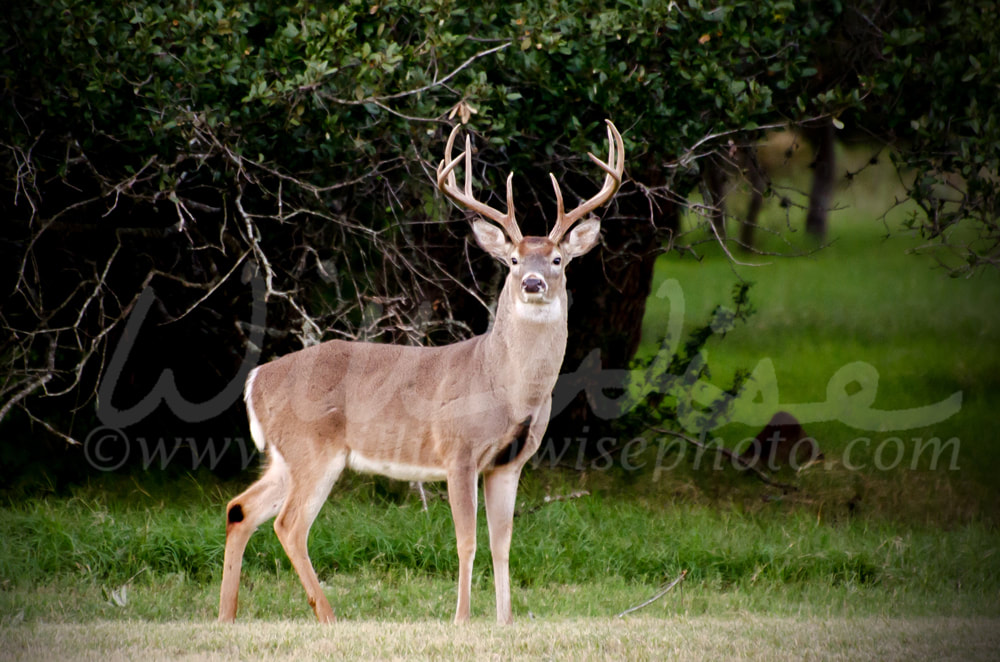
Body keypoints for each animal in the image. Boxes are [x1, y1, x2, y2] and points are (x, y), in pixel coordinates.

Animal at [219, 120, 624, 628]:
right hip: (312, 447)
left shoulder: (509, 462)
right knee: (288, 524)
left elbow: (503, 544)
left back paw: (226, 616)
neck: (506, 386)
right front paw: (462, 619)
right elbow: (467, 541)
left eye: (557, 260)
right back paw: (328, 617)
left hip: (284, 454)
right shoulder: (458, 450)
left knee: (240, 509)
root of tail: (256, 380)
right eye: (513, 261)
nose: (533, 283)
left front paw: (505, 621)